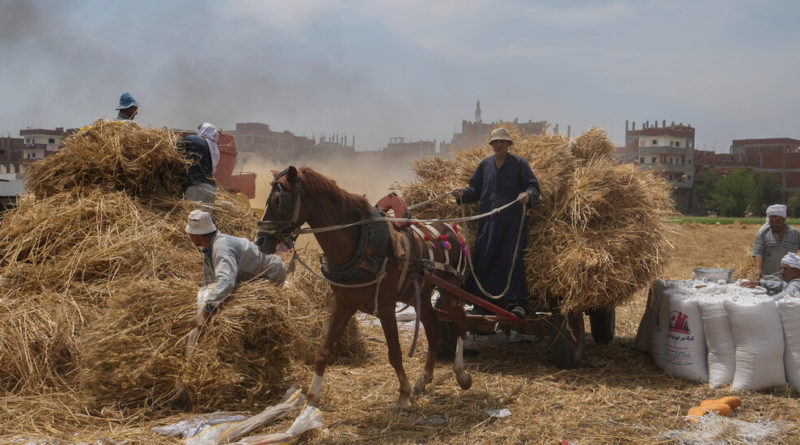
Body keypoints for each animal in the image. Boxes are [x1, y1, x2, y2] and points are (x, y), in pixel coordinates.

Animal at [255, 165, 468, 408]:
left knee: (461, 323)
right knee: (434, 330)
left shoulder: (385, 307)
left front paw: (403, 393)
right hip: (419, 295)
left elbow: (394, 353)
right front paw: (312, 396)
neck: (361, 246)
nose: (259, 240)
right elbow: (323, 350)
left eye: (279, 201)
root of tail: (451, 226)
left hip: (450, 290)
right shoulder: (344, 305)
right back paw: (423, 380)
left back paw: (461, 373)